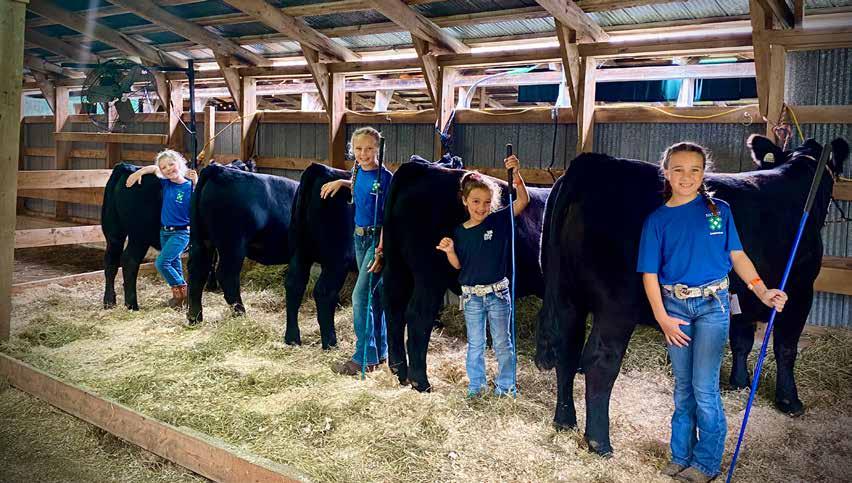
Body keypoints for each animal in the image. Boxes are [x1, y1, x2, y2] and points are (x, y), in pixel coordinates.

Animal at [101, 160, 254, 310]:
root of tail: (128, 167)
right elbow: (213, 260)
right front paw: (212, 285)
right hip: (139, 236)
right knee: (129, 261)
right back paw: (132, 304)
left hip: (114, 232)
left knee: (111, 262)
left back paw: (109, 302)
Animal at [186, 164, 299, 324]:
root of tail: (218, 169)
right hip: (233, 244)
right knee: (227, 275)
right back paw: (241, 314)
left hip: (201, 240)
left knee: (197, 271)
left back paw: (195, 318)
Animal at [284, 162, 355, 349]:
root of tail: (320, 168)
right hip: (337, 259)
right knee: (324, 291)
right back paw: (330, 342)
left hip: (300, 252)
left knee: (294, 285)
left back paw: (292, 338)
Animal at [535, 135, 848, 457]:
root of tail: (594, 163)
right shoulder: (800, 289)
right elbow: (786, 348)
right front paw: (790, 400)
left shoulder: (742, 296)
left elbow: (742, 340)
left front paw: (739, 383)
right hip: (616, 308)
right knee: (599, 361)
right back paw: (600, 441)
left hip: (568, 296)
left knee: (567, 351)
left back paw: (564, 421)